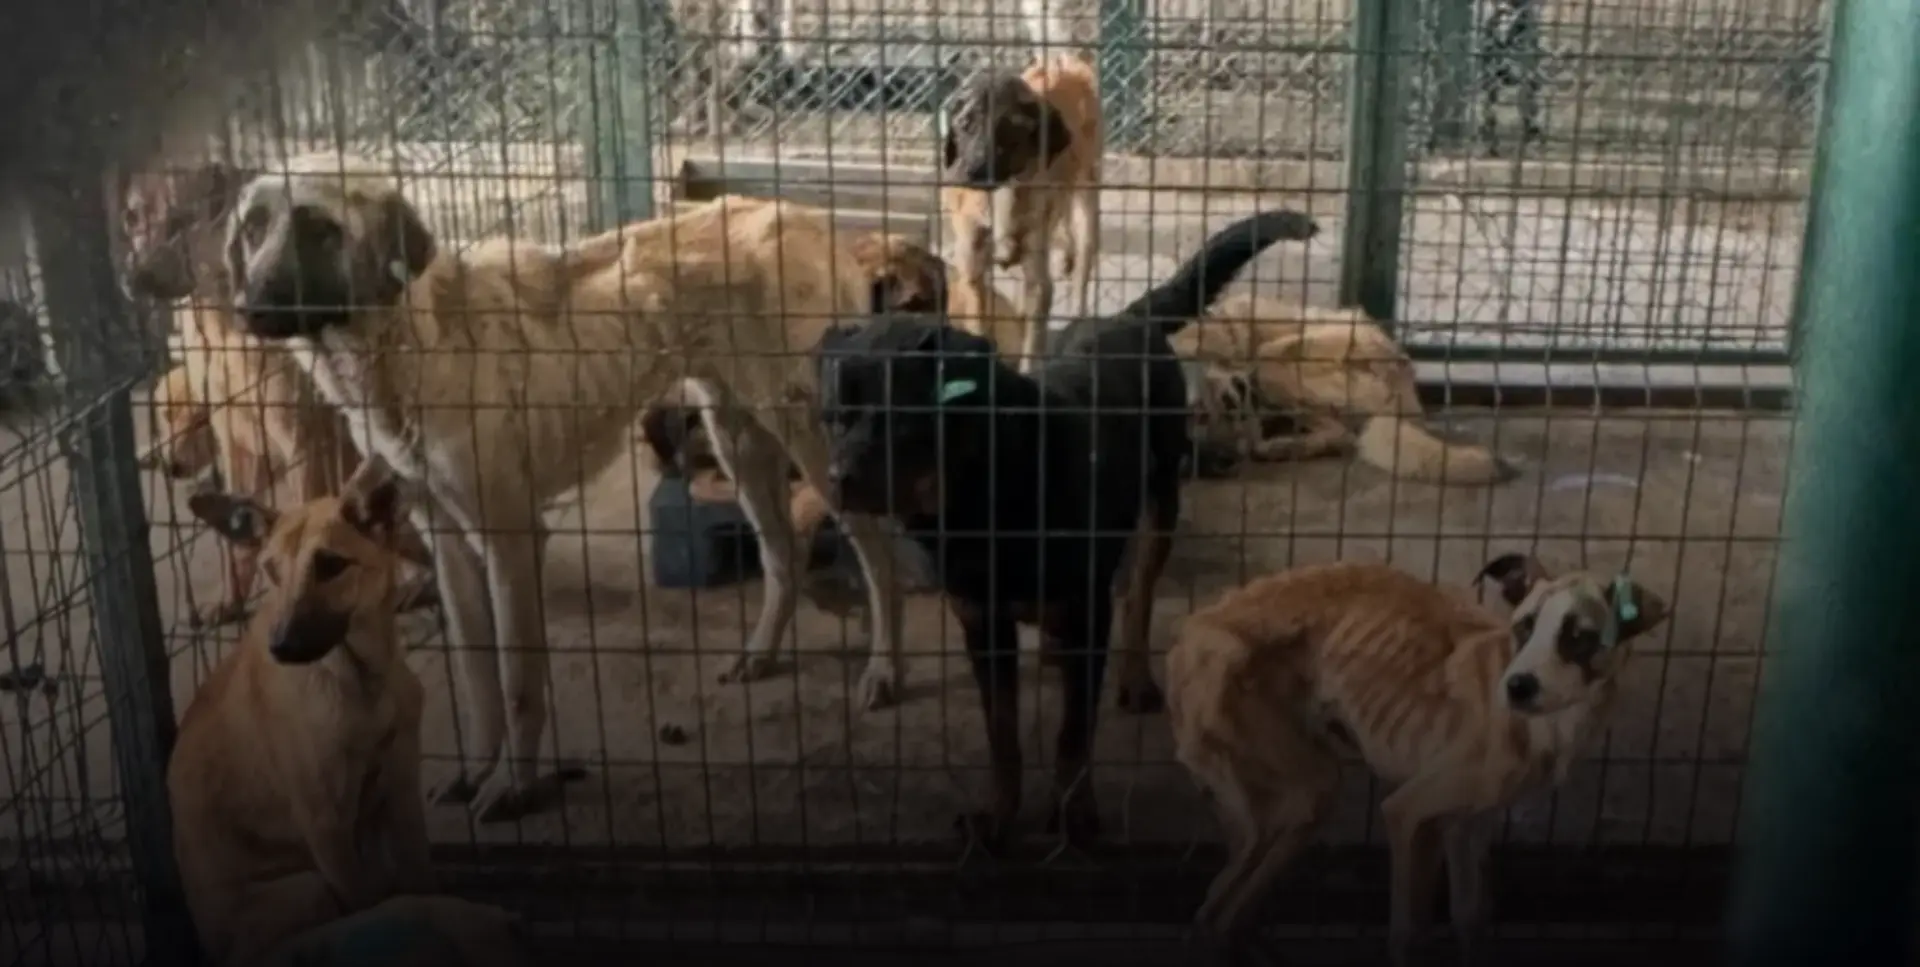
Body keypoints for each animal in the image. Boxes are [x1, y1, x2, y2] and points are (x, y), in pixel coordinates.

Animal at [220, 152, 910, 825]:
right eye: (252, 228)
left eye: (320, 229)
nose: (248, 308)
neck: (409, 345)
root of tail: (810, 219)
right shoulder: (446, 540)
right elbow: (476, 676)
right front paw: (476, 771)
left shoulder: (509, 539)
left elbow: (517, 680)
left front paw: (513, 785)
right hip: (735, 435)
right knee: (783, 554)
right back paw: (762, 651)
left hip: (811, 441)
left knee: (880, 556)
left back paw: (886, 669)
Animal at [810, 211, 1320, 851]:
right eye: (834, 417)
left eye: (902, 420)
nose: (837, 480)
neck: (988, 492)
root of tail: (1125, 316)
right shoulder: (983, 624)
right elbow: (1003, 734)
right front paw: (999, 815)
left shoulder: (1082, 606)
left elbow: (1073, 734)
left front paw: (1075, 816)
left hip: (1160, 503)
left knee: (1138, 596)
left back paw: (1133, 677)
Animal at [936, 51, 1105, 372]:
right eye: (965, 124)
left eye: (1010, 129)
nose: (973, 171)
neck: (1000, 196)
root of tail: (1064, 62)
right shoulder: (973, 270)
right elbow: (980, 322)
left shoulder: (1038, 283)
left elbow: (1033, 343)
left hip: (1087, 205)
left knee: (1081, 277)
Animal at [1159, 556, 1674, 963]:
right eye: (1524, 627)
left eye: (1579, 638)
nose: (1517, 688)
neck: (1550, 725)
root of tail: (1193, 629)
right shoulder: (1407, 814)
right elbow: (1410, 931)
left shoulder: (1467, 824)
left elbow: (1470, 917)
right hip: (1305, 795)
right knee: (1214, 903)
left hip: (1283, 811)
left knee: (1225, 899)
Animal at [1175, 295, 1520, 487]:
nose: (1223, 459)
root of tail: (1398, 375)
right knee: (1339, 436)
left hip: (1272, 362)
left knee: (1342, 436)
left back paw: (1279, 446)